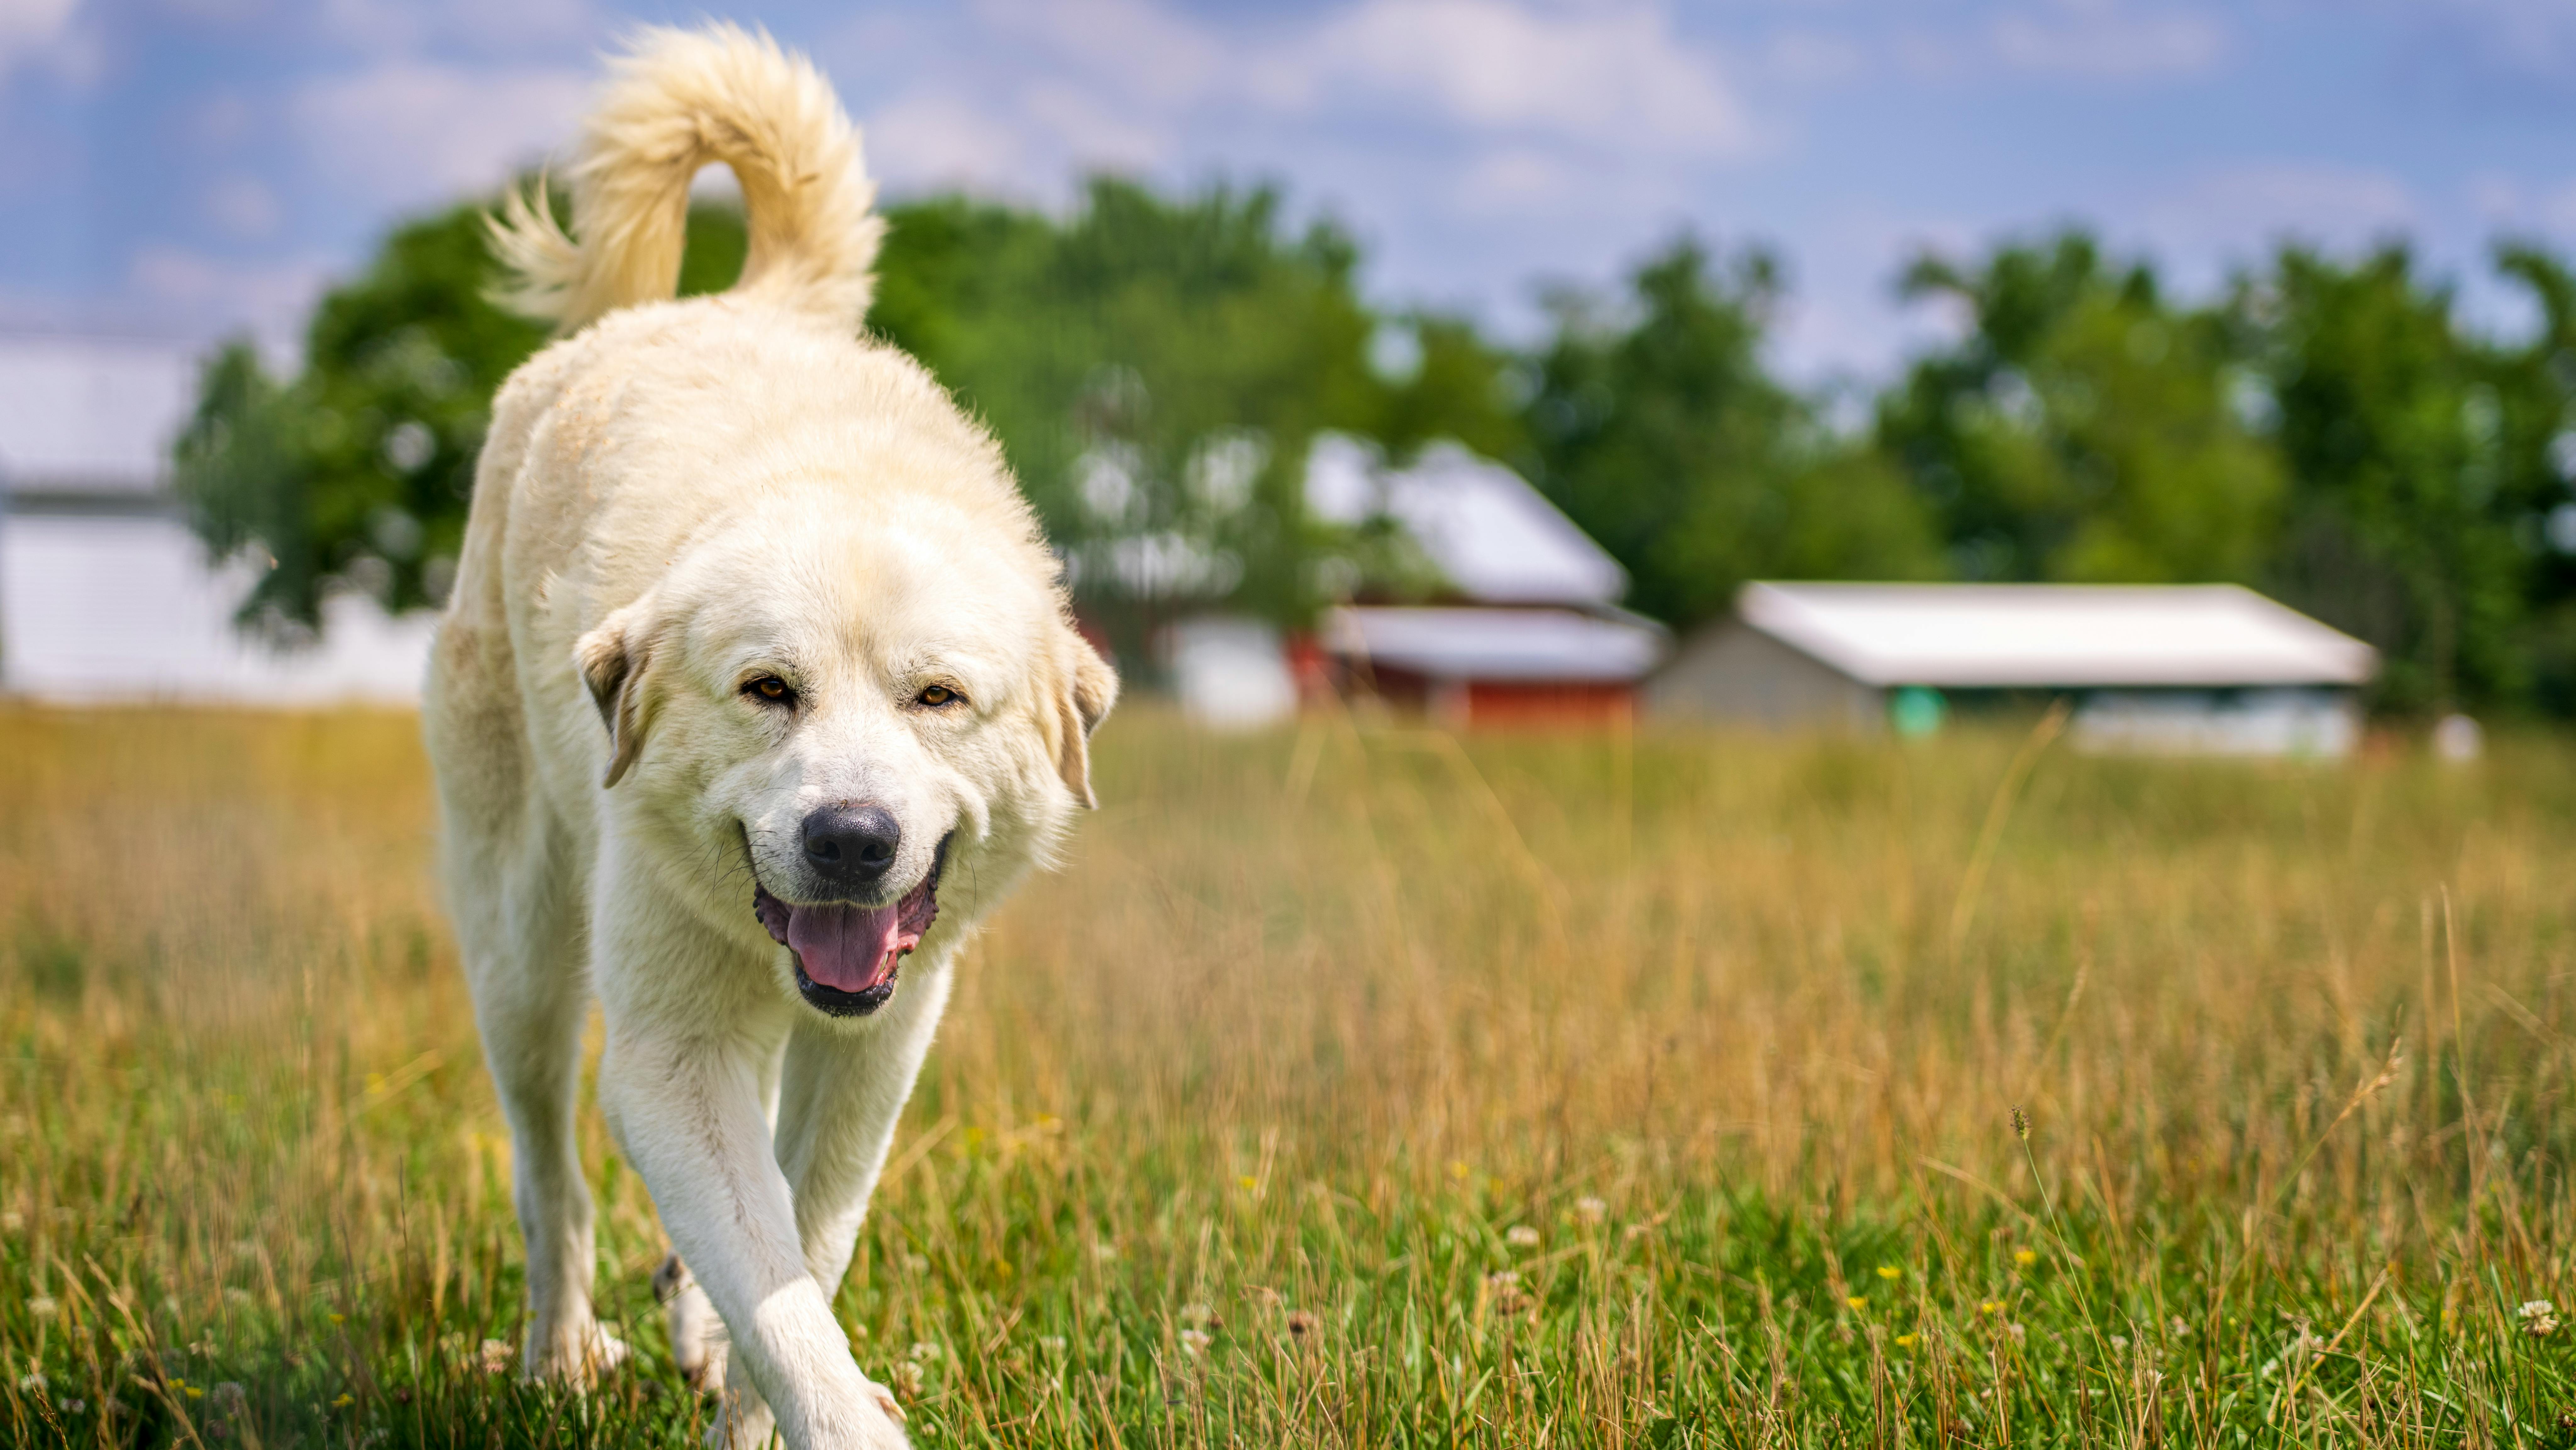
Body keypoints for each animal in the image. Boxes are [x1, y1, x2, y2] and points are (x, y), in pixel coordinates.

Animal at [425, 25, 1118, 1450]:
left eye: (936, 698)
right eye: (767, 689)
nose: (851, 840)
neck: (831, 473)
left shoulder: (879, 1045)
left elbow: (805, 1240)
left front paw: (744, 1394)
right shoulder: (672, 1054)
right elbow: (774, 1282)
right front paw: (825, 1412)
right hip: (521, 946)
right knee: (547, 1169)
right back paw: (559, 1354)